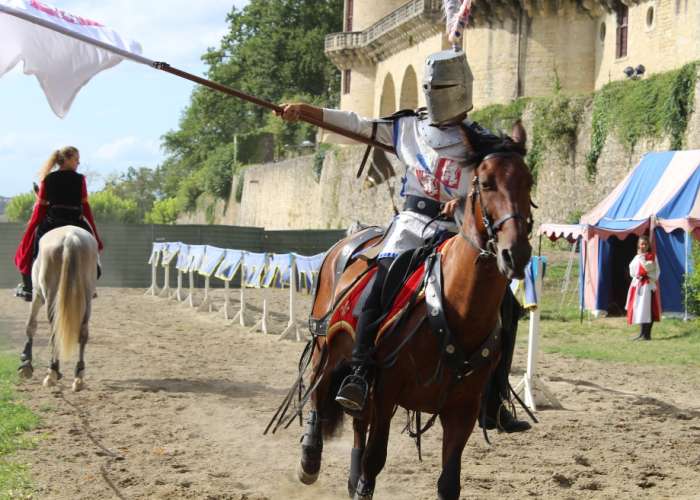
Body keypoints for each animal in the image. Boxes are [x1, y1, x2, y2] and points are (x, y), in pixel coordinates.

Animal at [18, 225, 98, 392]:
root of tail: (71, 239)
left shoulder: (37, 295)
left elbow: (30, 326)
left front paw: (26, 363)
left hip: (50, 296)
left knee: (54, 332)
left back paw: (52, 372)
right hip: (86, 297)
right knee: (83, 333)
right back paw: (79, 377)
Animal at [294, 122, 532, 500]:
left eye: (528, 181)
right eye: (486, 182)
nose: (516, 253)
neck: (456, 308)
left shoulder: (463, 410)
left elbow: (449, 483)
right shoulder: (387, 393)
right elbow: (375, 461)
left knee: (357, 423)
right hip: (326, 346)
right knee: (319, 390)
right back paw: (310, 458)